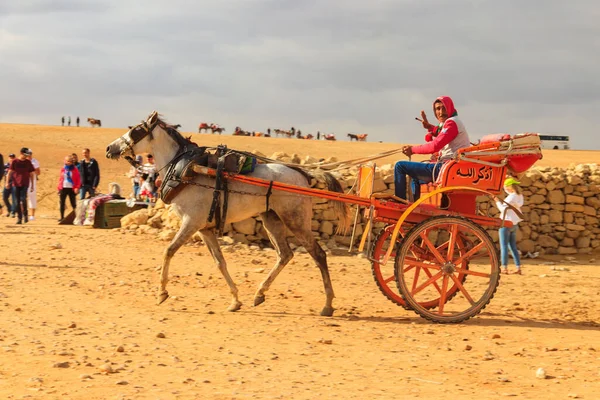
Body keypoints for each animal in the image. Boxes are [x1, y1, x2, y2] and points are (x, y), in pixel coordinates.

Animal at [106, 111, 352, 316]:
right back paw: (259, 294)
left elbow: (169, 251)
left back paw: (327, 305)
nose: (110, 149)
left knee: (318, 254)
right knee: (285, 254)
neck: (185, 169)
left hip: (295, 219)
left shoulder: (191, 222)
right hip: (271, 218)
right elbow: (220, 262)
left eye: (136, 130)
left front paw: (162, 293)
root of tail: (304, 175)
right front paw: (235, 300)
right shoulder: (204, 228)